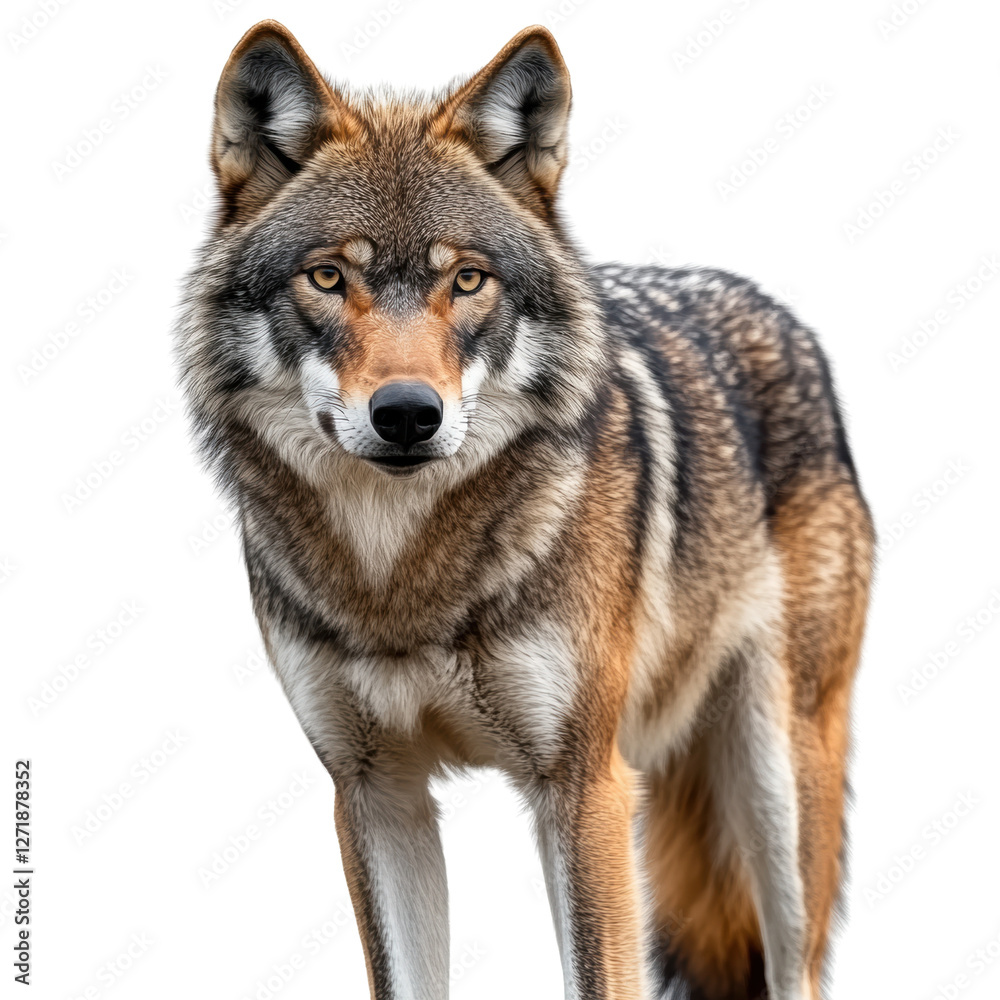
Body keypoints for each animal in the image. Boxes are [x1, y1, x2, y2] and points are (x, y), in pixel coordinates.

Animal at [175, 19, 873, 1000]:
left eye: (469, 281)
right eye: (328, 277)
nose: (407, 413)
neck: (402, 583)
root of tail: (780, 316)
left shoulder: (583, 786)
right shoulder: (374, 794)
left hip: (779, 784)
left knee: (797, 966)